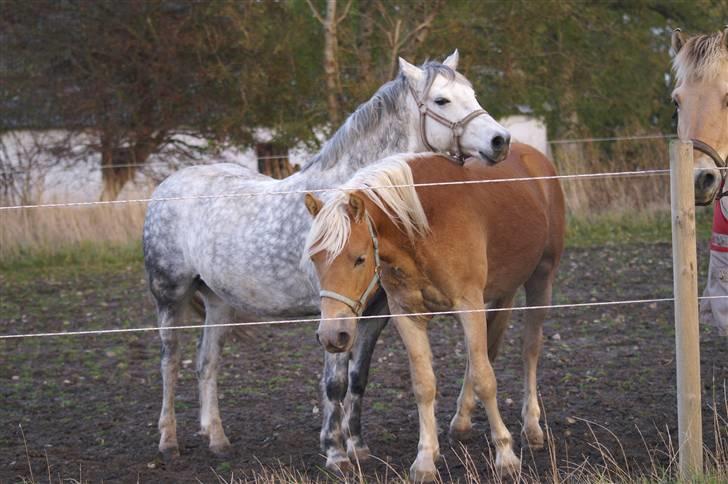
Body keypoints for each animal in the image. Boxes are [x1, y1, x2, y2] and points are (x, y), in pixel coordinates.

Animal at [139, 52, 510, 466]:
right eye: (442, 100)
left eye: (472, 93)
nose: (500, 140)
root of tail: (165, 187)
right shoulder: (334, 310)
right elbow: (334, 382)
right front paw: (334, 452)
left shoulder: (374, 314)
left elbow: (358, 378)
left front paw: (358, 446)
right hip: (169, 297)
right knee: (170, 362)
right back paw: (168, 440)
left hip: (219, 302)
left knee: (207, 363)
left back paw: (217, 439)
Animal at [304, 145, 564, 480]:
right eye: (315, 258)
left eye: (359, 258)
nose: (332, 335)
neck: (423, 226)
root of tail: (536, 157)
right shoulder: (408, 315)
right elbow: (424, 385)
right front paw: (426, 460)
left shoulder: (469, 304)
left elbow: (486, 379)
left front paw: (506, 457)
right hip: (502, 292)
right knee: (486, 352)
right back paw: (462, 422)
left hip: (541, 279)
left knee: (529, 349)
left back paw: (531, 427)